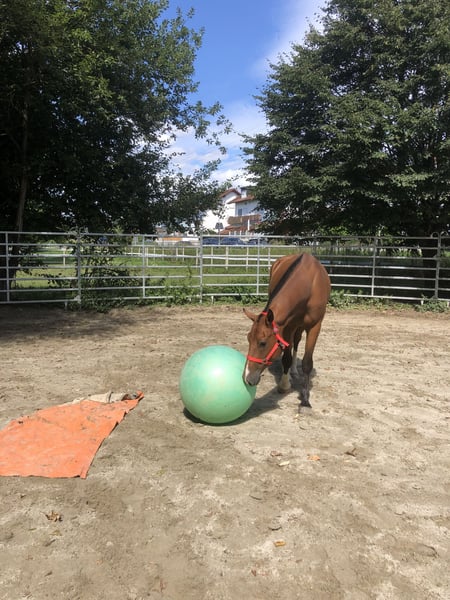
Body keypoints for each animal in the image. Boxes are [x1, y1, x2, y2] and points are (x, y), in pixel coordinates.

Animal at [243, 253, 331, 407]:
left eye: (262, 343)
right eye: (248, 338)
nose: (247, 378)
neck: (308, 284)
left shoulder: (315, 326)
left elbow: (307, 362)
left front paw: (305, 400)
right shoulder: (288, 325)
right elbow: (286, 358)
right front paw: (284, 385)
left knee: (297, 342)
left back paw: (294, 370)